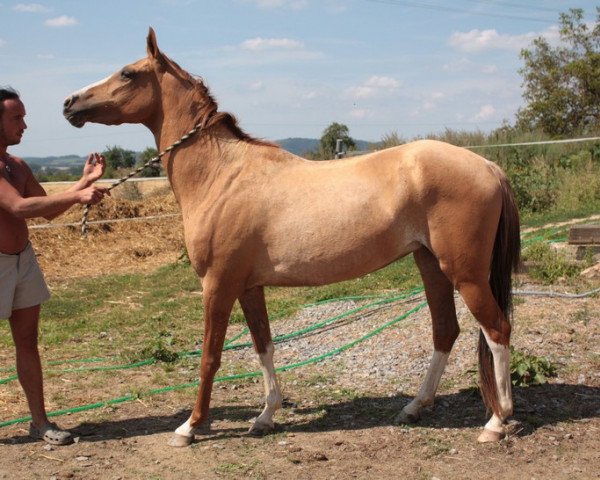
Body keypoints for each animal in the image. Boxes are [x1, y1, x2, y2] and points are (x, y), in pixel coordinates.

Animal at [62, 28, 520, 446]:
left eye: (127, 73)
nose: (70, 103)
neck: (221, 175)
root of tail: (487, 166)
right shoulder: (248, 287)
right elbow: (263, 347)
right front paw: (265, 417)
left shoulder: (217, 284)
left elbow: (210, 357)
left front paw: (190, 427)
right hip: (430, 264)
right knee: (446, 331)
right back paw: (414, 407)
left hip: (465, 274)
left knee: (497, 329)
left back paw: (497, 421)